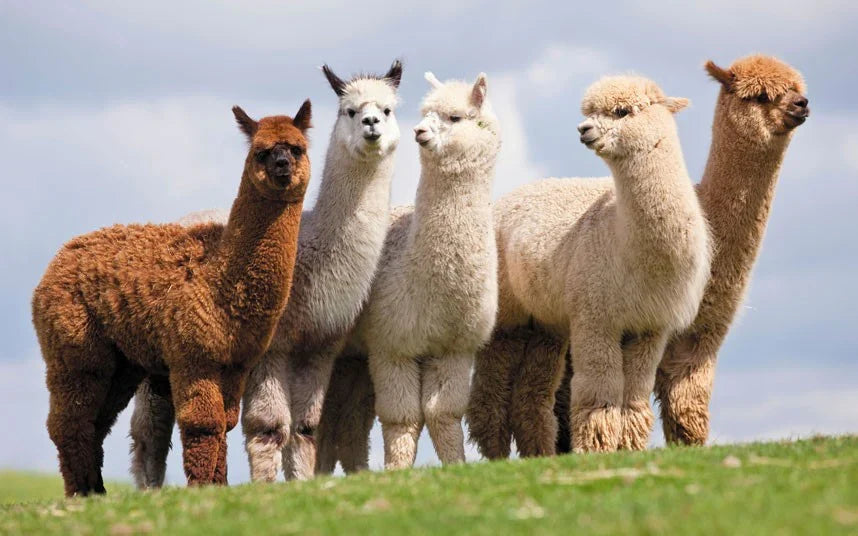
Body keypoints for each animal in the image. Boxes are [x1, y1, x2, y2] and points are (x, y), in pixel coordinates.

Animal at [32, 102, 312, 496]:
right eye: (262, 151)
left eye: (297, 148)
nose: (282, 165)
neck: (220, 279)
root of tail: (60, 256)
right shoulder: (192, 356)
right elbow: (202, 424)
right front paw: (201, 487)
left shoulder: (234, 364)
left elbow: (225, 423)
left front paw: (218, 485)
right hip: (73, 345)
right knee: (68, 422)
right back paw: (80, 492)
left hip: (122, 361)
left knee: (95, 423)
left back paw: (96, 492)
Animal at [127, 61, 403, 485]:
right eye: (350, 111)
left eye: (388, 109)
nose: (371, 124)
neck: (310, 255)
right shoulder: (268, 348)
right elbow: (268, 426)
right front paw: (264, 487)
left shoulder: (318, 346)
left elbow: (305, 428)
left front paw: (301, 482)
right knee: (149, 431)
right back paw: (149, 489)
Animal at [468, 75, 711, 455]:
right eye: (589, 112)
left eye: (621, 111)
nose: (583, 130)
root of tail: (505, 200)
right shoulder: (596, 317)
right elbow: (600, 390)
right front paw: (596, 446)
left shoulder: (650, 326)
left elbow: (634, 396)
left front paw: (627, 446)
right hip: (506, 316)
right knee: (488, 394)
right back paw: (496, 455)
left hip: (545, 324)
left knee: (531, 395)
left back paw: (539, 454)